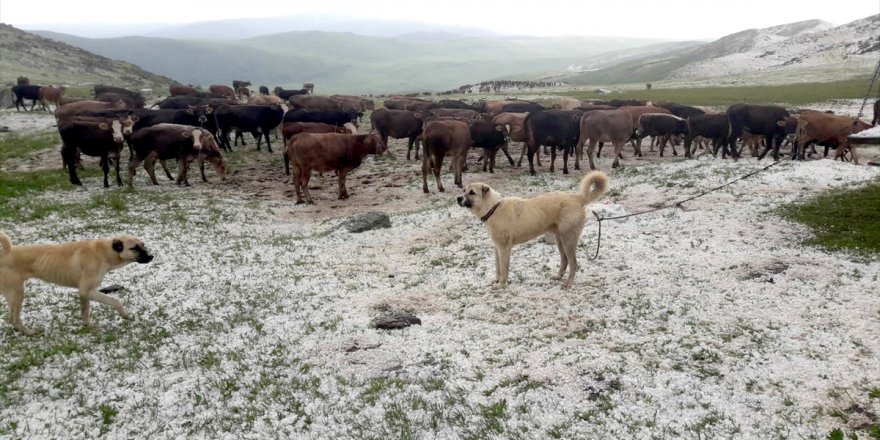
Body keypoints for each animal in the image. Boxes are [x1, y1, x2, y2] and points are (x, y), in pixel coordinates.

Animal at [0, 230, 154, 334]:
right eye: (134, 248)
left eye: (143, 245)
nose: (151, 256)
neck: (103, 252)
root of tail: (5, 253)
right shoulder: (87, 290)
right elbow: (114, 301)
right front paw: (124, 314)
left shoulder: (85, 293)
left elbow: (85, 311)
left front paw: (88, 326)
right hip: (17, 293)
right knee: (14, 319)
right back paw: (29, 332)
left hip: (13, 295)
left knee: (11, 317)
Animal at [458, 171, 608, 288]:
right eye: (464, 190)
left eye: (472, 193)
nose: (458, 198)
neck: (493, 208)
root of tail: (577, 198)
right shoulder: (497, 247)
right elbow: (497, 267)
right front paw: (496, 280)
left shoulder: (504, 248)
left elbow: (504, 268)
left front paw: (501, 285)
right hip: (560, 239)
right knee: (564, 260)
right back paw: (558, 276)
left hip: (568, 239)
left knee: (573, 263)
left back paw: (568, 284)